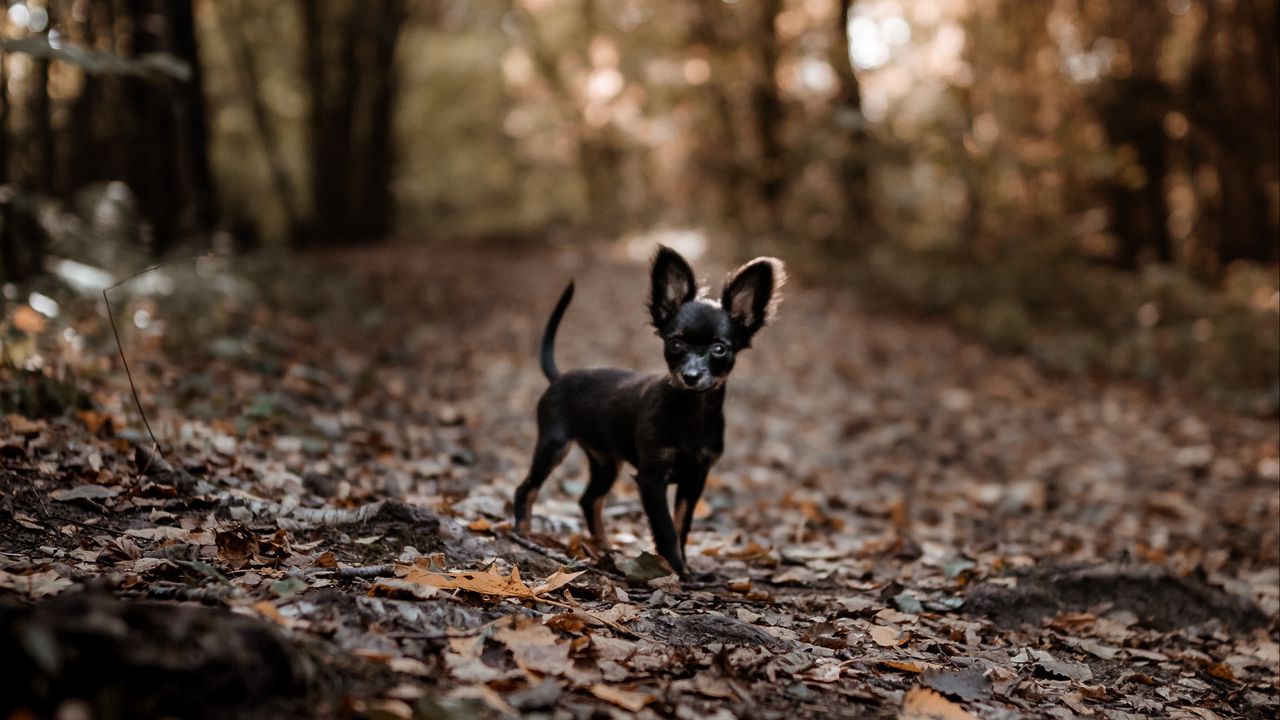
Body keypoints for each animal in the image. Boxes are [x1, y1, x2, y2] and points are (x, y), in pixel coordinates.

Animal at [514, 245, 783, 576]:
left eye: (719, 349)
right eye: (675, 343)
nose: (691, 376)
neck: (691, 412)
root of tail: (559, 377)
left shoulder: (696, 478)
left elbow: (682, 526)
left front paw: (685, 567)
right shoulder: (651, 479)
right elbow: (666, 528)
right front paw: (676, 570)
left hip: (606, 463)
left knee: (589, 500)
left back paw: (606, 548)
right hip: (554, 445)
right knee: (526, 489)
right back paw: (524, 533)